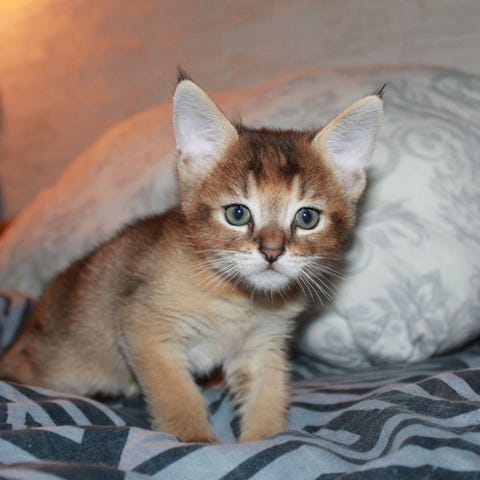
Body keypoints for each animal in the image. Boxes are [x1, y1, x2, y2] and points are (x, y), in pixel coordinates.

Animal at [0, 72, 383, 443]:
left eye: (307, 218)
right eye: (237, 214)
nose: (272, 252)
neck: (241, 302)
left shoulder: (263, 347)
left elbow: (268, 397)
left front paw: (265, 439)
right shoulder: (145, 330)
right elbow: (178, 397)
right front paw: (197, 439)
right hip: (64, 365)